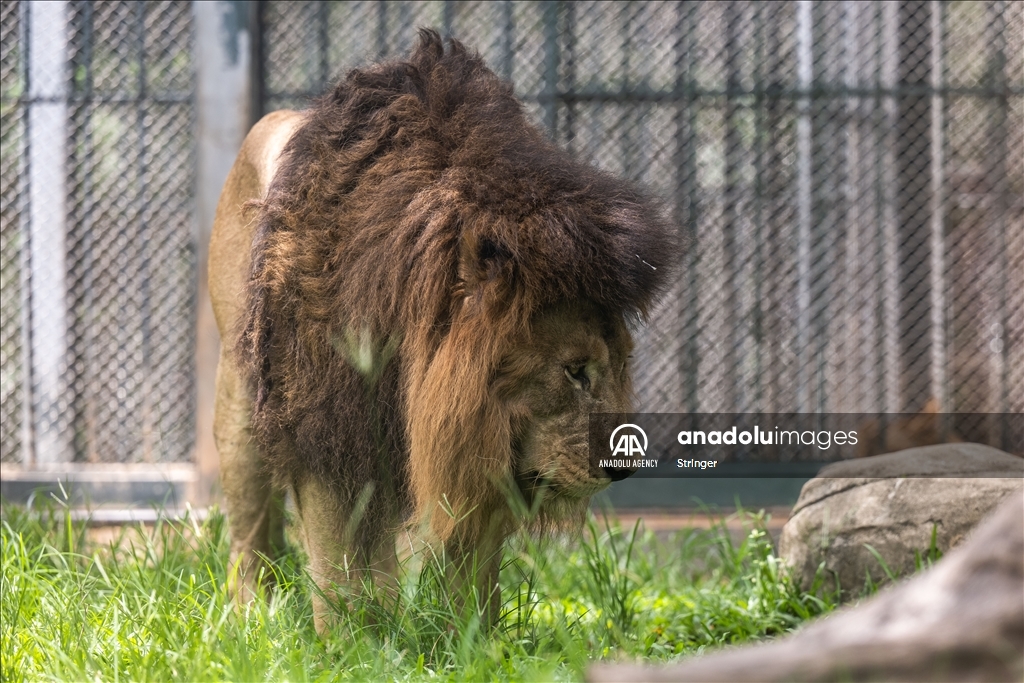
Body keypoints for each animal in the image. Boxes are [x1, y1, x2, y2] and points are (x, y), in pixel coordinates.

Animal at [208, 30, 675, 630]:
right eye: (574, 371)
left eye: (620, 366)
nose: (624, 470)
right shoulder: (326, 423)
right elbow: (336, 565)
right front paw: (348, 642)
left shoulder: (473, 441)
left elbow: (472, 571)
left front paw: (476, 640)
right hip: (242, 405)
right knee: (252, 534)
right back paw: (252, 616)